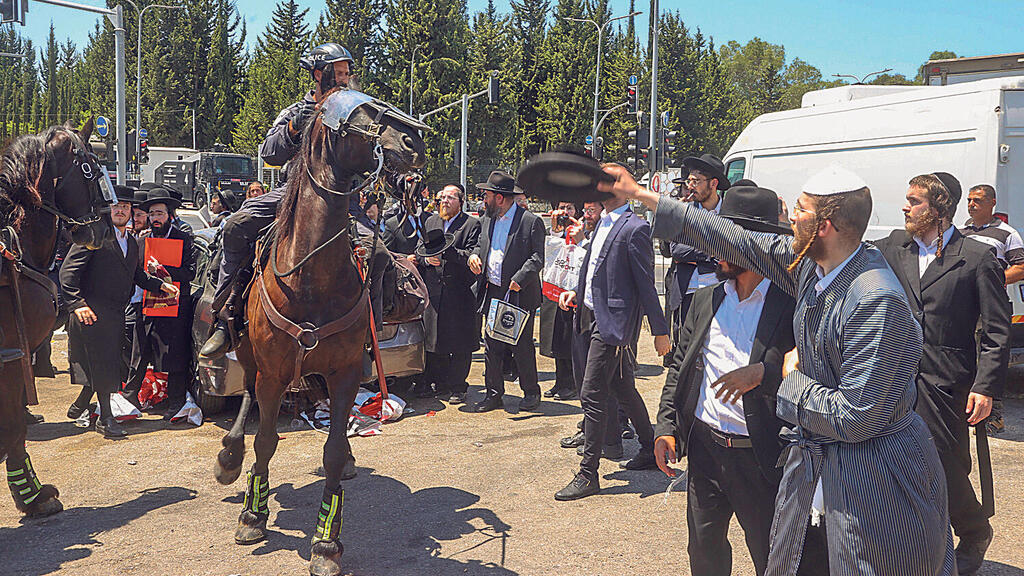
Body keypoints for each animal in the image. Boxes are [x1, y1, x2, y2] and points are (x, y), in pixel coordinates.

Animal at [214, 90, 425, 573]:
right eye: (361, 114)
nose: (414, 141)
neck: (309, 275)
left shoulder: (344, 371)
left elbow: (330, 452)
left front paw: (327, 542)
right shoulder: (273, 373)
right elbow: (266, 440)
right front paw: (252, 515)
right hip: (250, 357)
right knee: (246, 396)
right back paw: (230, 456)